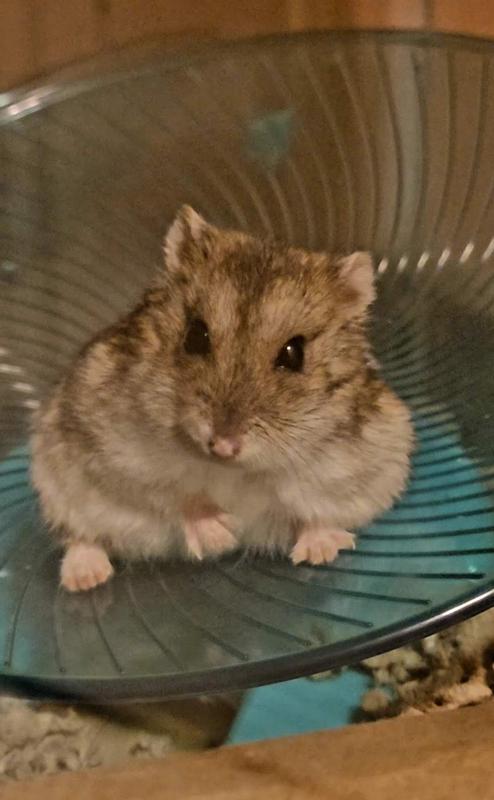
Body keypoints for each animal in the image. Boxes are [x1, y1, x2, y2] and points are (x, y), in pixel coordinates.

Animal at [29, 206, 412, 592]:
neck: (233, 470)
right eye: (195, 336)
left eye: (294, 354)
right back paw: (85, 579)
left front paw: (319, 552)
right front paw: (222, 535)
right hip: (57, 489)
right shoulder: (116, 456)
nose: (223, 446)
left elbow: (312, 510)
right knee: (82, 537)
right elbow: (175, 495)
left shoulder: (358, 467)